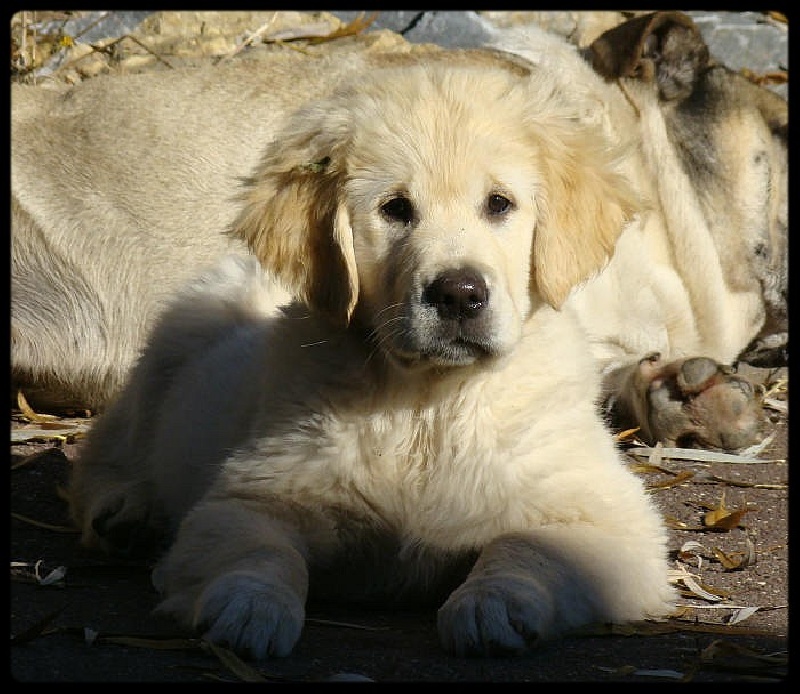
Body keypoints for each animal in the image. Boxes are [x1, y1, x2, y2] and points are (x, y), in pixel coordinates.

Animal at [72, 58, 680, 656]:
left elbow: (524, 548)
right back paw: (125, 511)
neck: (430, 405)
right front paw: (249, 608)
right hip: (169, 346)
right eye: (396, 209)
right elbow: (263, 551)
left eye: (499, 204)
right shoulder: (249, 494)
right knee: (108, 451)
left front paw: (491, 605)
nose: (459, 294)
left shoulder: (604, 516)